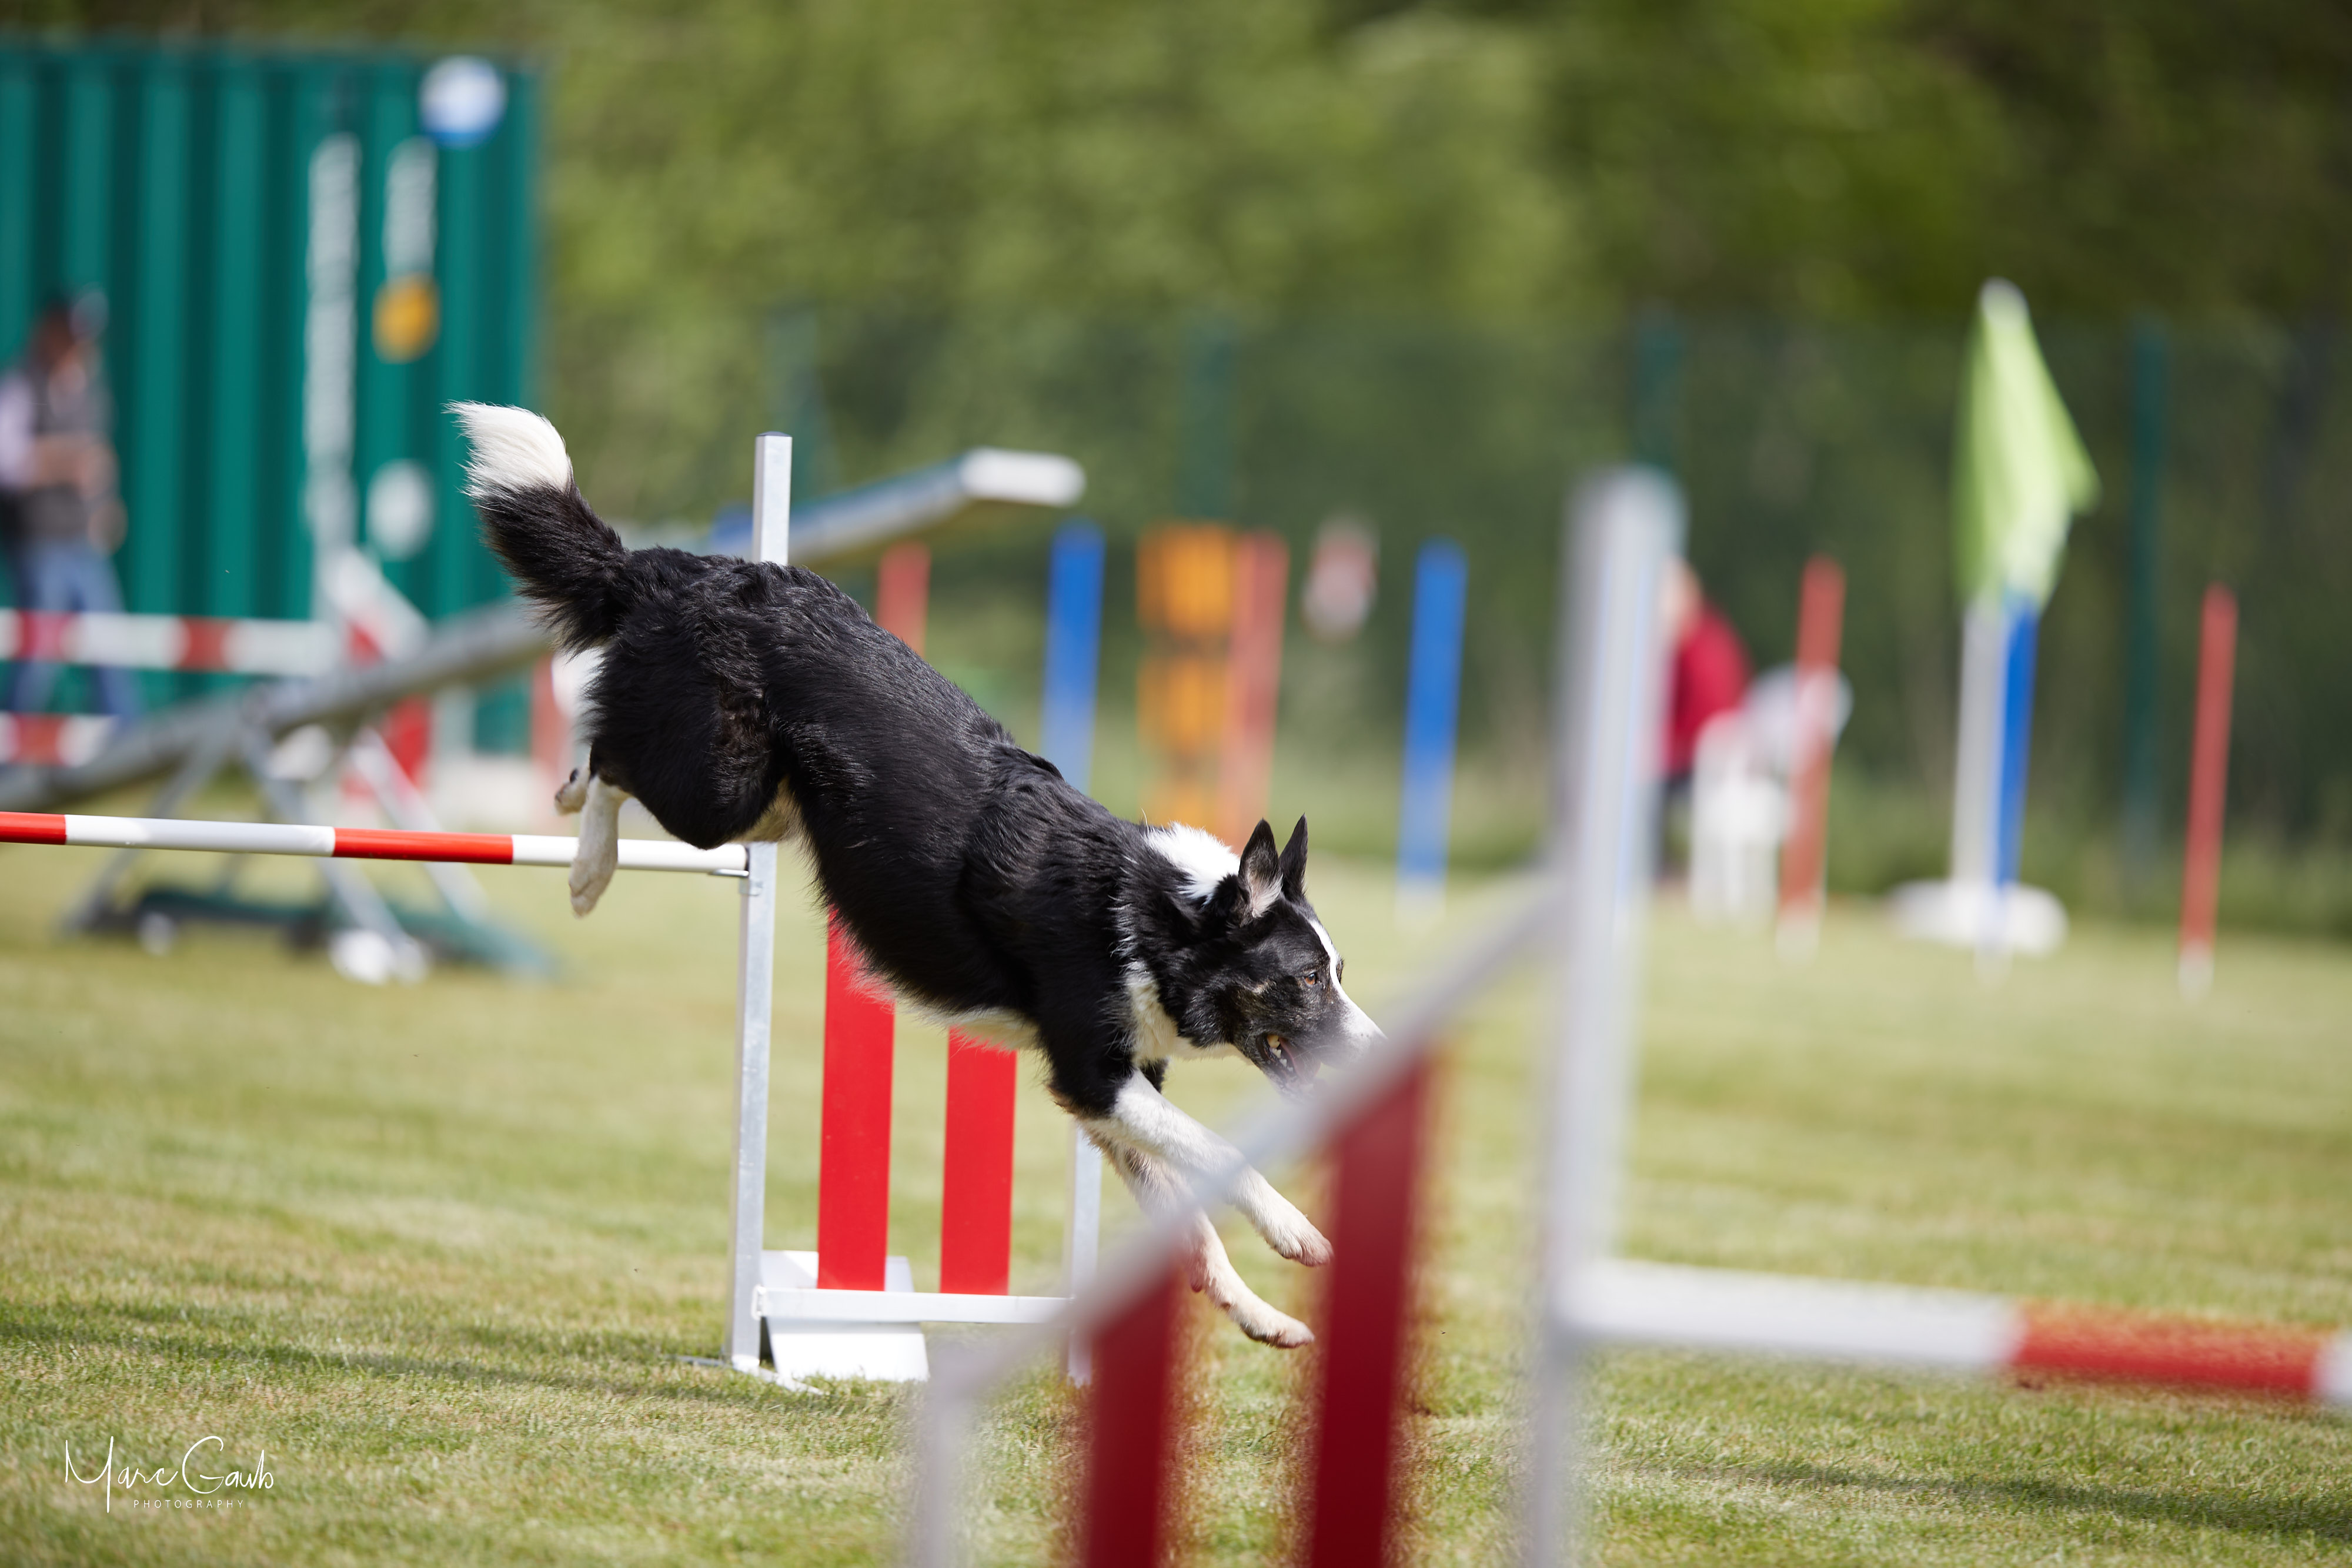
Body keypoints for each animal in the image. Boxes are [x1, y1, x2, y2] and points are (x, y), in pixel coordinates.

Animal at [456, 403, 1381, 1347]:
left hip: (771, 810)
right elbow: (1220, 1150)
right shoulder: (1092, 1072)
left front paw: (1257, 1311)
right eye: (1308, 980)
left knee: (607, 755)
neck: (1155, 914)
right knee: (611, 756)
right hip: (719, 793)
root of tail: (679, 568)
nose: (1383, 1055)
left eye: (1340, 972)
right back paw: (587, 867)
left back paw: (567, 803)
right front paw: (1296, 1231)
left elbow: (1183, 1214)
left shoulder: (1109, 1090)